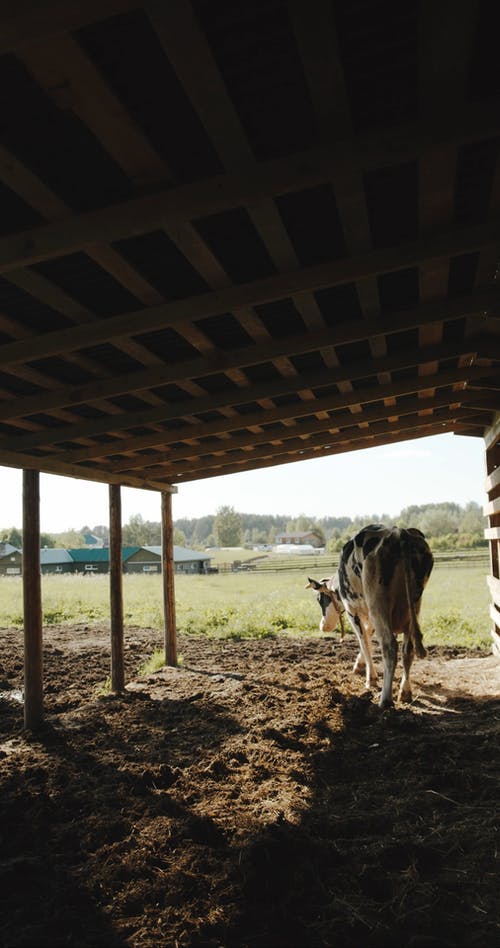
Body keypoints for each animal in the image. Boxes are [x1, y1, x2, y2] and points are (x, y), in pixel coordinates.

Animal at [336, 524, 434, 712]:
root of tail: (399, 533)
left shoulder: (353, 612)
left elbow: (364, 642)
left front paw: (370, 678)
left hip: (377, 605)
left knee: (389, 646)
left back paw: (385, 699)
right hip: (414, 606)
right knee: (407, 649)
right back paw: (405, 692)